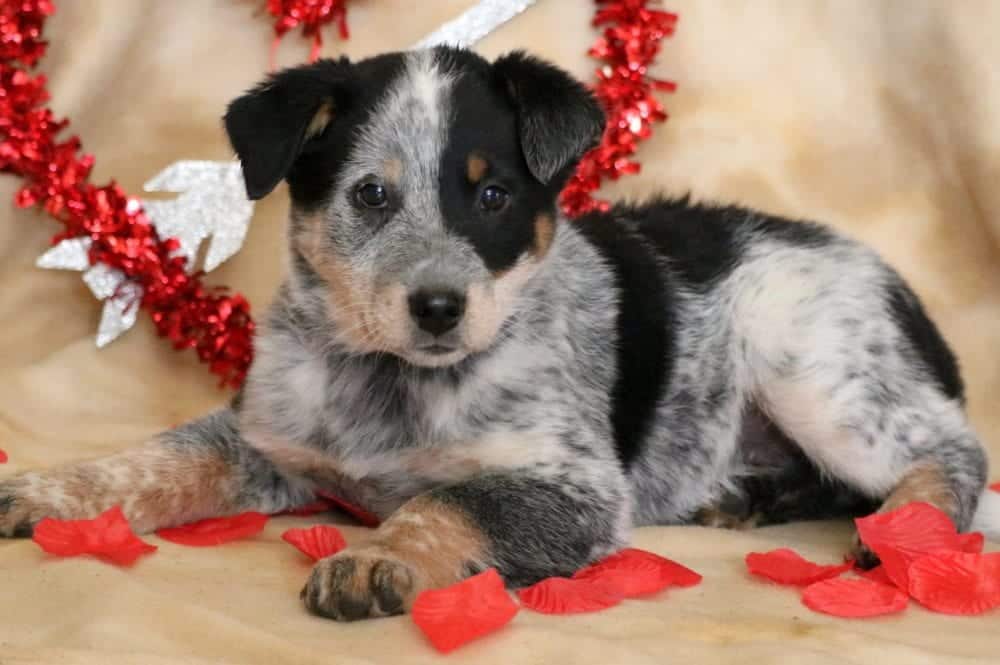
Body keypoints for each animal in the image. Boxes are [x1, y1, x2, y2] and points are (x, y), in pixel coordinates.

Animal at [3, 48, 996, 624]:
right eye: (371, 194)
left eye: (491, 195)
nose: (440, 306)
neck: (391, 381)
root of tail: (890, 276)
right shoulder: (264, 434)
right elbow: (156, 457)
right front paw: (52, 488)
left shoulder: (573, 485)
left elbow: (448, 500)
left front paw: (377, 557)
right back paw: (742, 497)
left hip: (816, 369)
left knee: (953, 452)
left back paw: (902, 532)